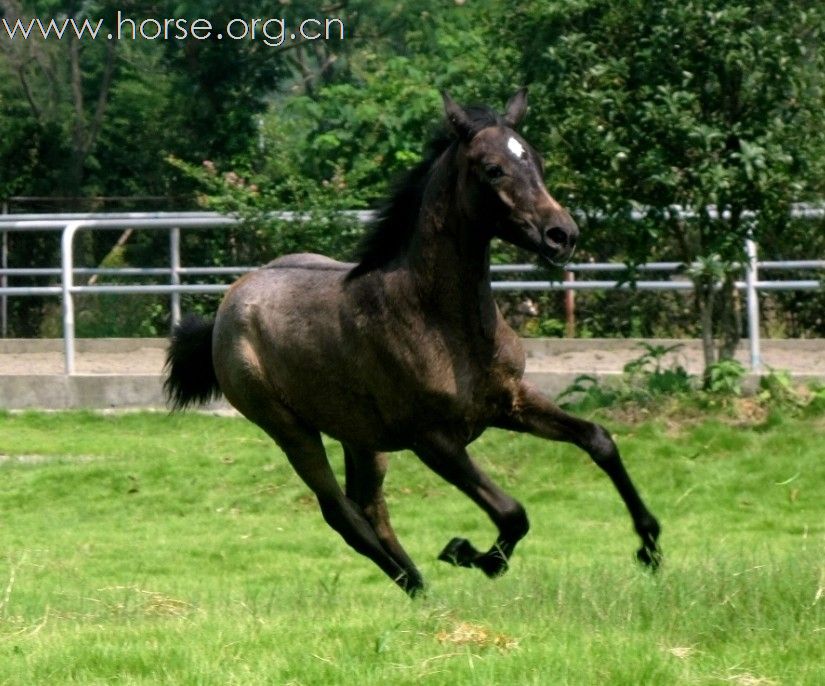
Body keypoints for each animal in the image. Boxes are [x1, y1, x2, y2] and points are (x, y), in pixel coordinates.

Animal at [164, 90, 660, 596]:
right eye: (492, 168)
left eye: (535, 159)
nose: (562, 235)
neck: (442, 321)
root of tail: (227, 307)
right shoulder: (432, 439)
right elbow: (512, 513)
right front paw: (468, 553)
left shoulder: (510, 401)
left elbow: (598, 440)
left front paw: (649, 547)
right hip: (289, 429)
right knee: (342, 514)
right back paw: (419, 584)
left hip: (360, 436)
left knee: (369, 507)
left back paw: (421, 589)